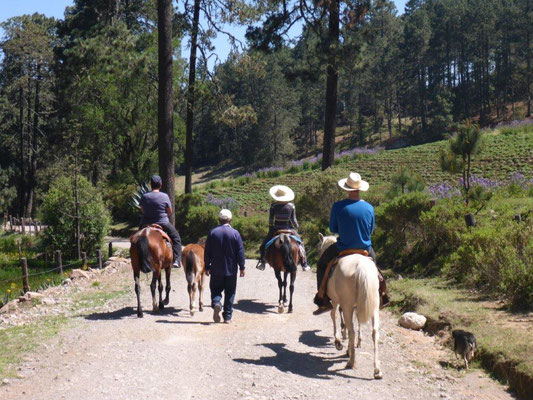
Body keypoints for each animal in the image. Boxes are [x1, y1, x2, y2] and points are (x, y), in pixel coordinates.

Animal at [316, 231, 382, 378]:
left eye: (319, 248)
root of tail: (360, 266)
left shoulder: (335, 301)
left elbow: (333, 315)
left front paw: (338, 341)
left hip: (347, 305)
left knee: (351, 330)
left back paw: (351, 361)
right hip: (373, 306)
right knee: (374, 332)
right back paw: (377, 370)